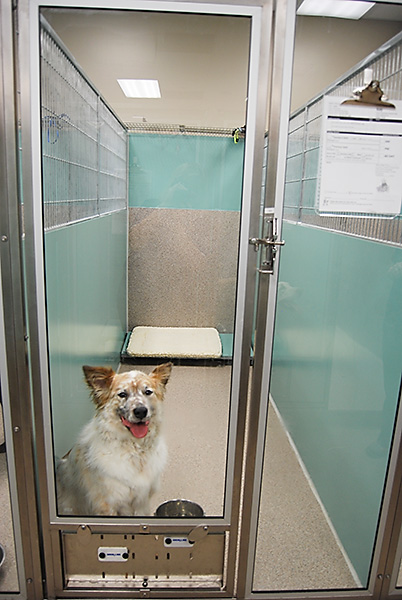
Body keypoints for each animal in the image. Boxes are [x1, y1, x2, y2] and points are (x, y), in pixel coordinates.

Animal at [55, 360, 172, 516]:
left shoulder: (142, 503)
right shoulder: (107, 506)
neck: (135, 450)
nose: (141, 411)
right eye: (122, 394)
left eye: (148, 392)